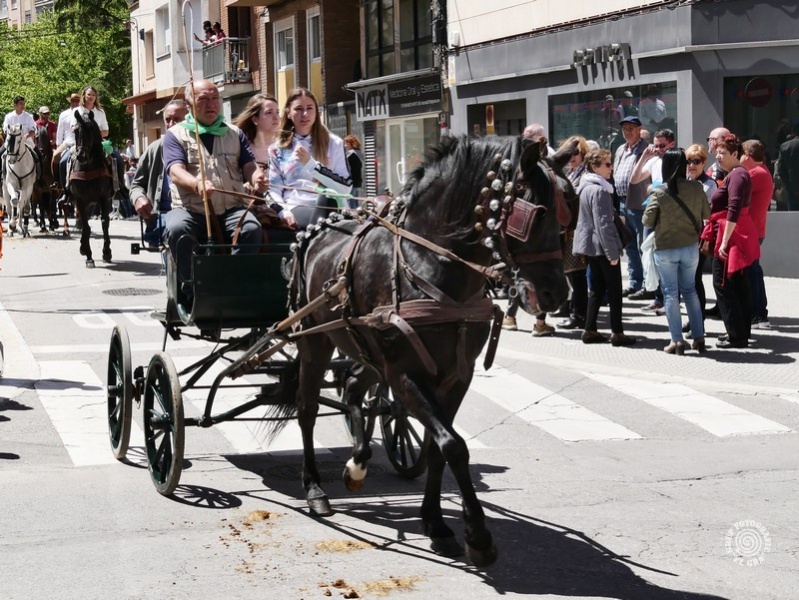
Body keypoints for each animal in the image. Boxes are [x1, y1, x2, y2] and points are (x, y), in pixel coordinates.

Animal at [69, 110, 113, 268]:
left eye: (90, 129)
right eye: (76, 130)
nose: (81, 156)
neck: (88, 168)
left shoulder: (105, 198)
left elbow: (105, 223)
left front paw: (107, 252)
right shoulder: (81, 200)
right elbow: (86, 227)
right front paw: (89, 256)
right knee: (83, 223)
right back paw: (83, 248)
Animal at [269, 134, 574, 567]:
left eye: (568, 208)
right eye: (535, 215)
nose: (556, 294)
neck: (432, 267)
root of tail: (314, 232)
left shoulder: (456, 375)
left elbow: (435, 448)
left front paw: (436, 523)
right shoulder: (405, 373)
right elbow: (454, 446)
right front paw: (477, 535)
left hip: (366, 350)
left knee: (353, 388)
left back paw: (358, 462)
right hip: (316, 342)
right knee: (307, 409)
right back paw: (314, 487)